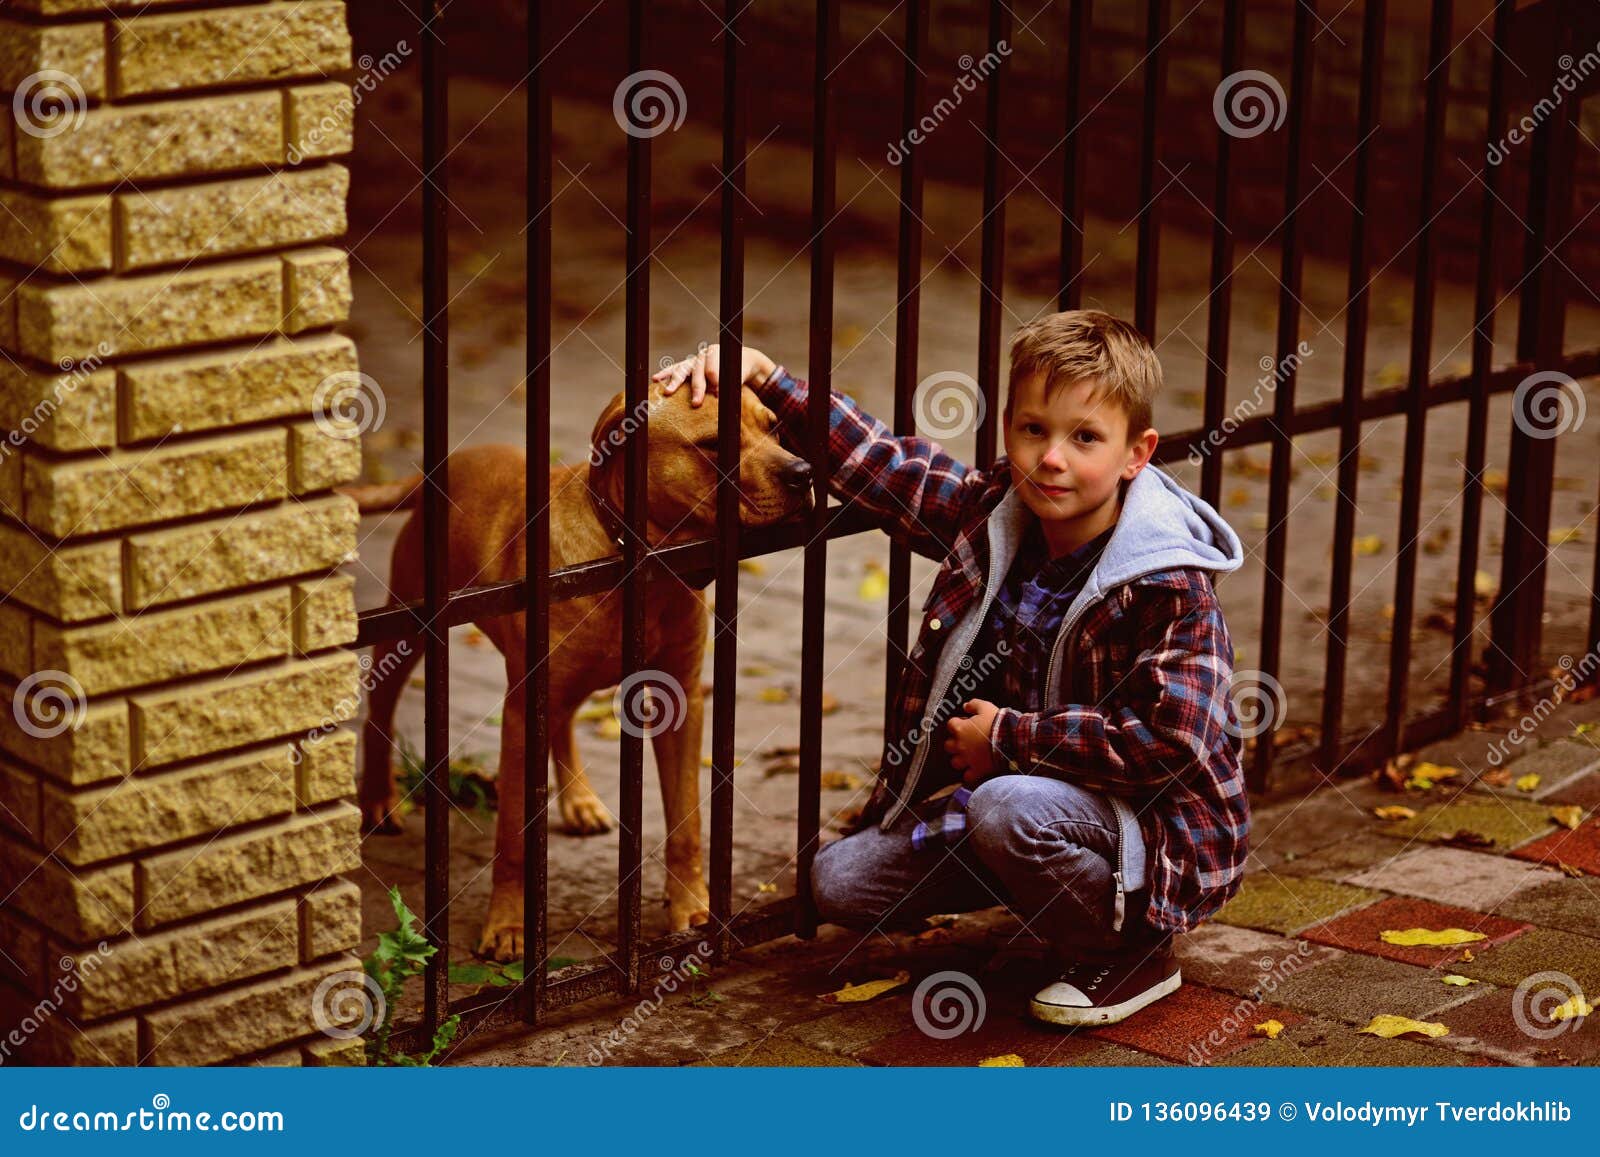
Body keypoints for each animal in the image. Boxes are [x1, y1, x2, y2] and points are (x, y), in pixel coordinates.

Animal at [337, 380, 812, 960]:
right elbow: (513, 842)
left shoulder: (681, 701)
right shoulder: (521, 713)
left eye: (774, 426)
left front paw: (693, 910)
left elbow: (686, 826)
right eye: (713, 444)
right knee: (379, 710)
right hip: (409, 630)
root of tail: (442, 470)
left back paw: (580, 800)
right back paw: (379, 798)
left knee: (562, 726)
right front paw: (508, 924)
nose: (804, 472)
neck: (639, 562)